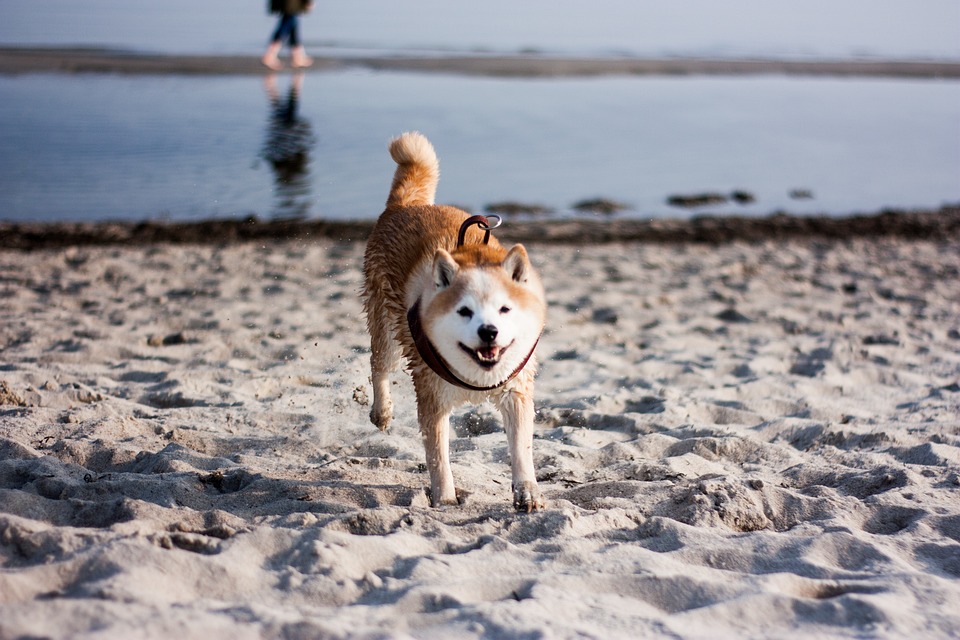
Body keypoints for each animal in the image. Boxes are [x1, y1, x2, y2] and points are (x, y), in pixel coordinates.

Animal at [360, 131, 544, 510]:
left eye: (505, 309)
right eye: (464, 311)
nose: (489, 332)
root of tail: (406, 205)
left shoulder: (515, 390)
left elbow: (521, 446)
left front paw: (527, 489)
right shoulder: (432, 396)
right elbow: (438, 456)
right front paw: (444, 499)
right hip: (385, 324)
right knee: (378, 364)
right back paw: (381, 411)